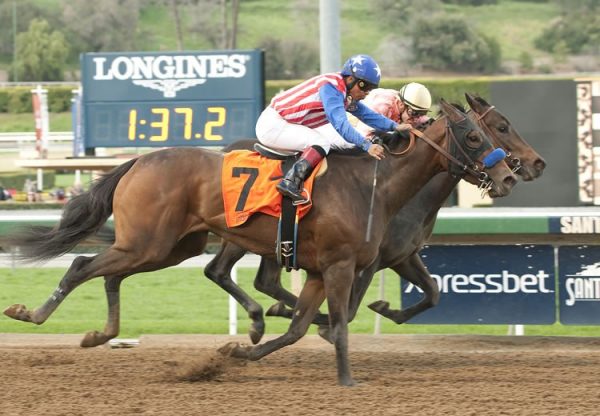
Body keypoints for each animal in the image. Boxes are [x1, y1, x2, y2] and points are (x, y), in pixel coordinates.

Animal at [3, 99, 516, 386]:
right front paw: (347, 380)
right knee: (82, 266)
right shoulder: (342, 265)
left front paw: (240, 352)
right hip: (150, 242)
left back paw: (104, 332)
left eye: (491, 130)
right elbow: (339, 324)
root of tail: (138, 160)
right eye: (475, 135)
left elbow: (299, 329)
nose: (510, 174)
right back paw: (35, 314)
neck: (375, 183)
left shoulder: (324, 268)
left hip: (169, 246)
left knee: (114, 274)